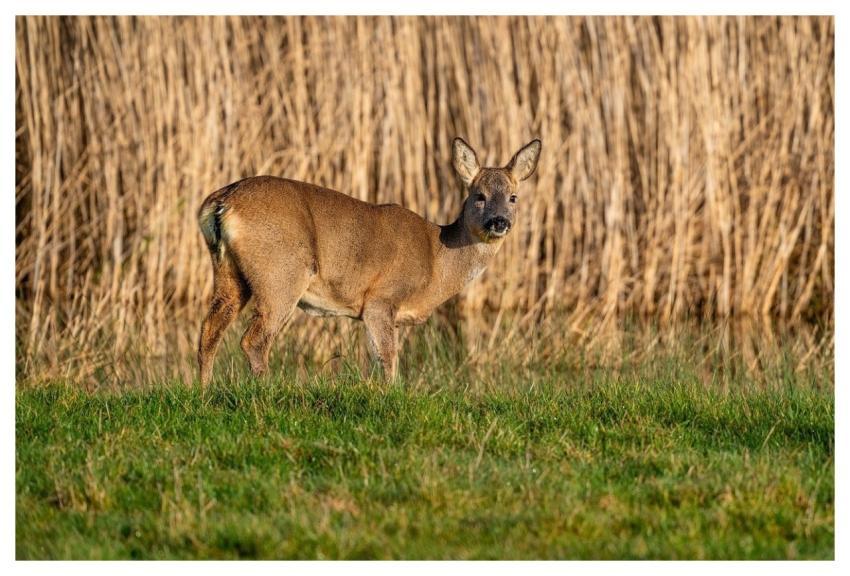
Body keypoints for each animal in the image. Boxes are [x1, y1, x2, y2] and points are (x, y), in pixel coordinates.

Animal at [197, 137, 541, 386]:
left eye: (513, 197)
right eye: (479, 195)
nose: (499, 221)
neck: (437, 260)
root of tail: (223, 202)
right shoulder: (381, 298)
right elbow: (388, 358)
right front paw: (391, 397)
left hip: (229, 272)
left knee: (209, 332)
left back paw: (204, 392)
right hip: (282, 271)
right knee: (254, 339)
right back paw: (265, 394)